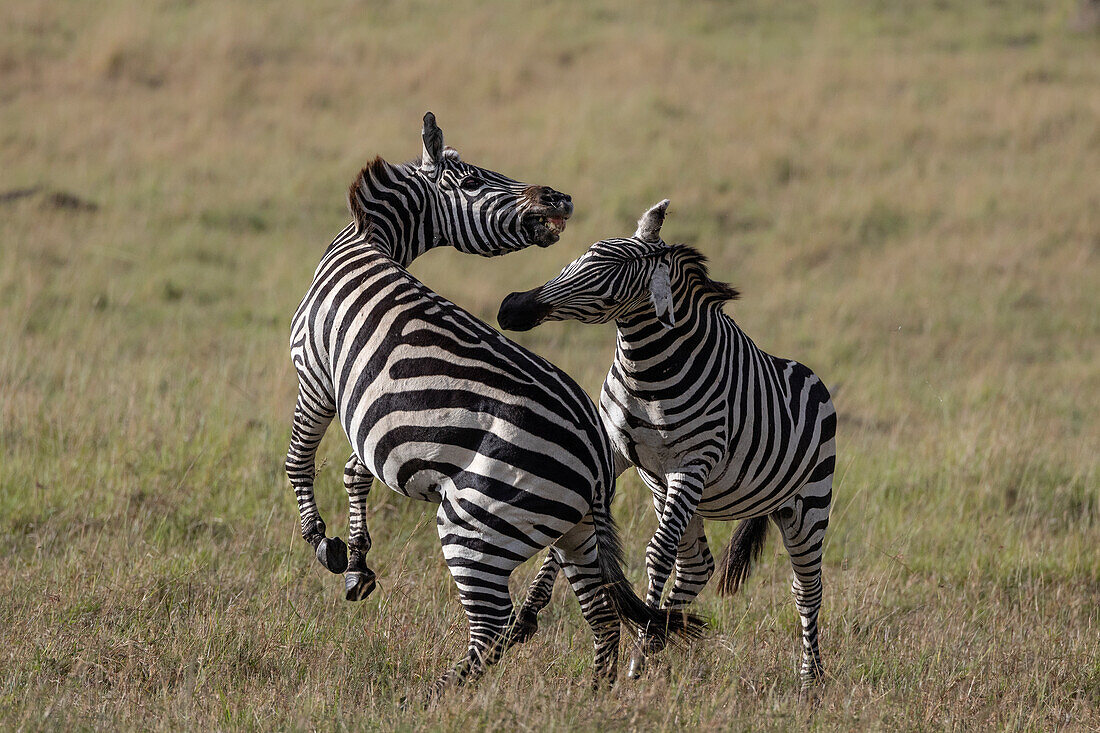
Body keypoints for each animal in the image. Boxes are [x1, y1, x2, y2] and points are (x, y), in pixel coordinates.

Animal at [283, 115, 699, 695]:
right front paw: (357, 562)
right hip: (574, 530)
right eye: (476, 180)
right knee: (600, 615)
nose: (560, 197)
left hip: (476, 524)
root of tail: (596, 457)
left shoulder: (315, 375)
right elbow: (354, 471)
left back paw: (436, 693)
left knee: (492, 626)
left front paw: (322, 541)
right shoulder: (373, 417)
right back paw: (594, 694)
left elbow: (299, 460)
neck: (368, 242)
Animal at [497, 200, 831, 691]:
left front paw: (639, 651)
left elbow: (656, 554)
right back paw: (660, 638)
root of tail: (811, 375)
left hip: (805, 506)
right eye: (581, 254)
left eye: (609, 281)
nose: (511, 308)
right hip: (678, 494)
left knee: (806, 591)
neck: (649, 371)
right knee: (696, 565)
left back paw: (809, 682)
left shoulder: (691, 465)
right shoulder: (613, 451)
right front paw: (525, 620)